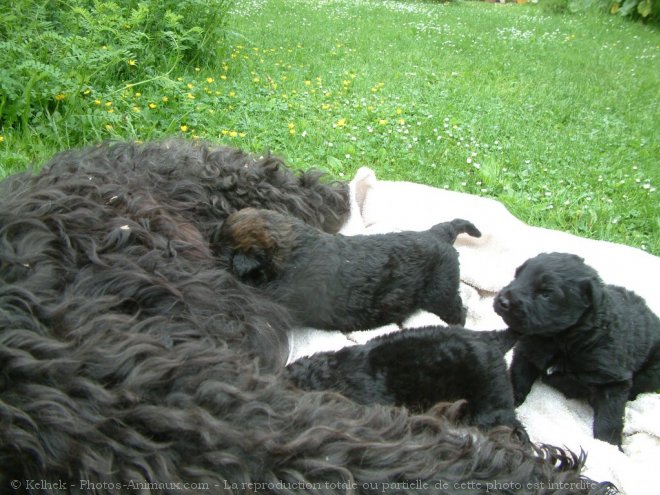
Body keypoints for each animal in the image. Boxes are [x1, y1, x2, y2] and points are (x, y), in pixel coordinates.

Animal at [496, 254, 660, 448]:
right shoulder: (526, 353)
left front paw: (609, 446)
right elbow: (517, 378)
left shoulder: (613, 381)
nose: (502, 301)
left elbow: (609, 418)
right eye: (517, 276)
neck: (559, 339)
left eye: (546, 293)